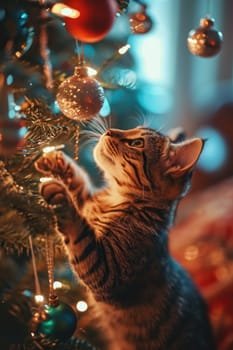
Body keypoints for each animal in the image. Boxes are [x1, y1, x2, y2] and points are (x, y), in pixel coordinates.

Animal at [35, 126, 216, 350]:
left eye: (136, 143)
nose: (110, 131)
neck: (114, 199)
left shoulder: (106, 273)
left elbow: (79, 231)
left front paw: (61, 200)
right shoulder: (87, 204)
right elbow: (80, 182)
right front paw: (56, 162)